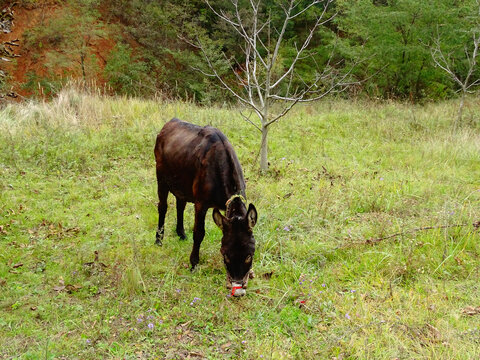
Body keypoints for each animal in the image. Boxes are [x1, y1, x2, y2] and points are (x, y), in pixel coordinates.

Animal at [156, 118, 256, 296]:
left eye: (249, 256)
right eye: (225, 255)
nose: (237, 289)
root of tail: (169, 124)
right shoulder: (201, 204)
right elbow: (199, 233)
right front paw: (193, 263)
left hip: (182, 185)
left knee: (180, 205)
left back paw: (181, 233)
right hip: (161, 177)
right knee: (163, 207)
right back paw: (159, 239)